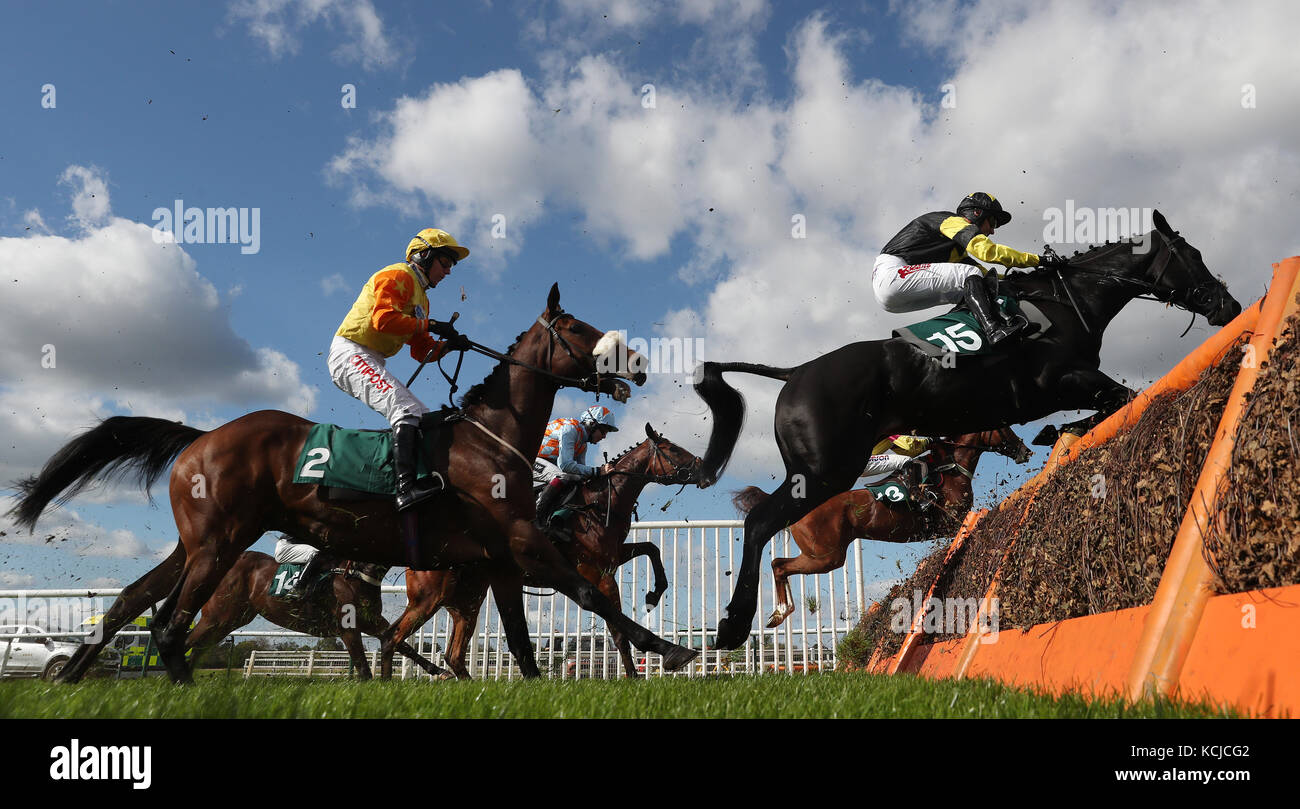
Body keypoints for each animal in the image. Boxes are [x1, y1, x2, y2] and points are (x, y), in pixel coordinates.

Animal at [183, 554, 444, 681]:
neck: (355, 574)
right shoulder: (348, 627)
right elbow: (363, 666)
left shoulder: (373, 622)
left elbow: (402, 644)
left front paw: (440, 671)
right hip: (218, 615)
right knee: (187, 641)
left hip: (232, 618)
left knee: (198, 646)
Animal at [379, 424, 707, 686]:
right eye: (672, 449)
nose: (703, 466)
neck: (599, 502)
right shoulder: (596, 572)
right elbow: (617, 629)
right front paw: (634, 676)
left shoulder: (611, 560)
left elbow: (652, 548)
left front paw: (655, 593)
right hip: (431, 595)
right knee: (392, 636)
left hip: (468, 599)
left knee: (453, 654)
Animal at [738, 429, 1029, 632]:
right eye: (1005, 426)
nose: (1025, 450)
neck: (950, 468)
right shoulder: (951, 521)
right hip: (827, 556)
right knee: (779, 565)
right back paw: (781, 611)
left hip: (819, 554)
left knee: (778, 564)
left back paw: (778, 613)